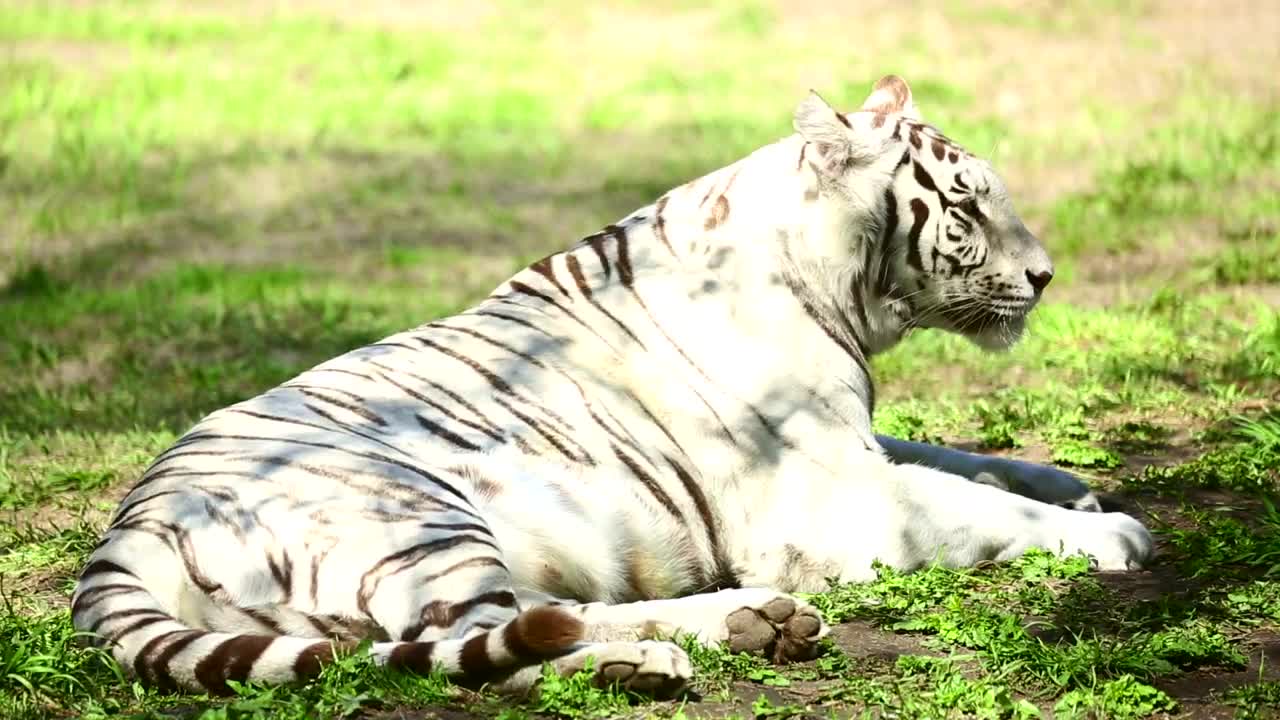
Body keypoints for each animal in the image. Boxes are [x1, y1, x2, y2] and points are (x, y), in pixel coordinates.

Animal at [72, 75, 1153, 697]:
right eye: (967, 206)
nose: (1046, 275)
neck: (835, 286)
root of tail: (125, 531)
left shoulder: (851, 443)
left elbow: (959, 457)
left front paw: (1072, 488)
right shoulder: (833, 499)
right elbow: (969, 501)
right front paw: (1112, 533)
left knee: (521, 622)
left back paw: (749, 623)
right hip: (419, 516)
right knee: (479, 655)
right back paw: (653, 664)